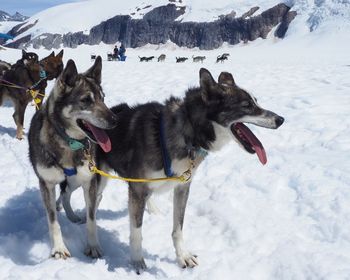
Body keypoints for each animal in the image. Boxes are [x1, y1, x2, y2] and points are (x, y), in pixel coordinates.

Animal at [28, 55, 117, 260]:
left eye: (103, 98)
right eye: (86, 100)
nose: (115, 120)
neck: (68, 143)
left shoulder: (89, 182)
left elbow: (91, 218)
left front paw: (93, 246)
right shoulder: (47, 183)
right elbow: (53, 220)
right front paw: (59, 248)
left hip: (76, 180)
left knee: (66, 194)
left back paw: (72, 215)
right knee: (62, 195)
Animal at [59, 66, 284, 272]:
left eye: (256, 101)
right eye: (247, 105)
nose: (280, 119)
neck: (187, 132)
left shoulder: (182, 187)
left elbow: (178, 229)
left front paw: (183, 256)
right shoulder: (138, 189)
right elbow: (137, 231)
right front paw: (137, 261)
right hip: (94, 178)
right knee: (78, 199)